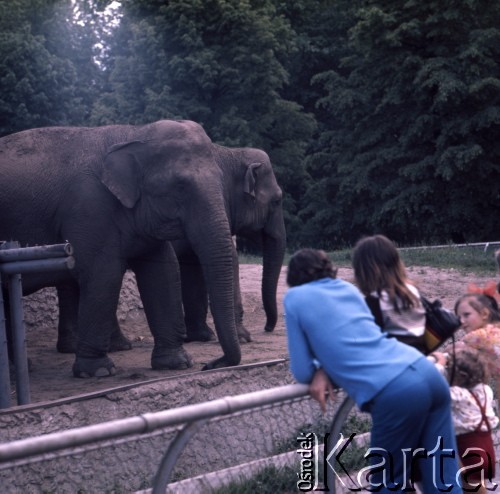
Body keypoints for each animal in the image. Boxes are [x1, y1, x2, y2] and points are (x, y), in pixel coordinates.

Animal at [0, 121, 286, 376]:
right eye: (277, 200)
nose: (212, 364)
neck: (135, 134)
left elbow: (165, 271)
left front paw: (179, 361)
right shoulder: (90, 208)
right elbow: (103, 272)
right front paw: (98, 372)